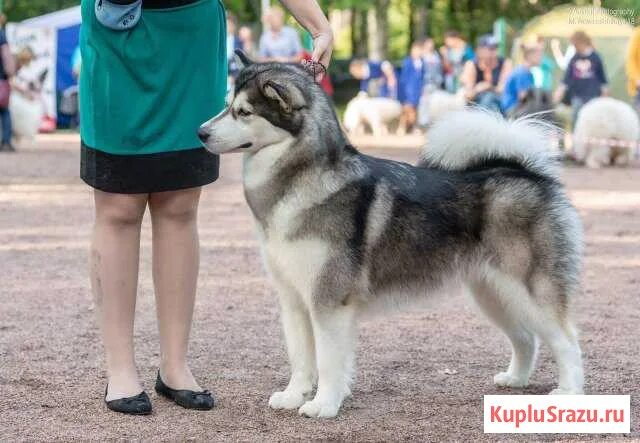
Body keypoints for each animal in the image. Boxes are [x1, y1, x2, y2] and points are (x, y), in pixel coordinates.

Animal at [199, 53, 584, 418]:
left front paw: (324, 405)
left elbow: (328, 361)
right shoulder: (293, 300)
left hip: (528, 290)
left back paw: (569, 392)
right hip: (493, 293)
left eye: (243, 112)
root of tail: (527, 173)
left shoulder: (329, 300)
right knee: (526, 338)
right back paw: (516, 378)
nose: (200, 132)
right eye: (226, 104)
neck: (299, 182)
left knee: (567, 340)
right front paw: (295, 396)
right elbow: (300, 358)